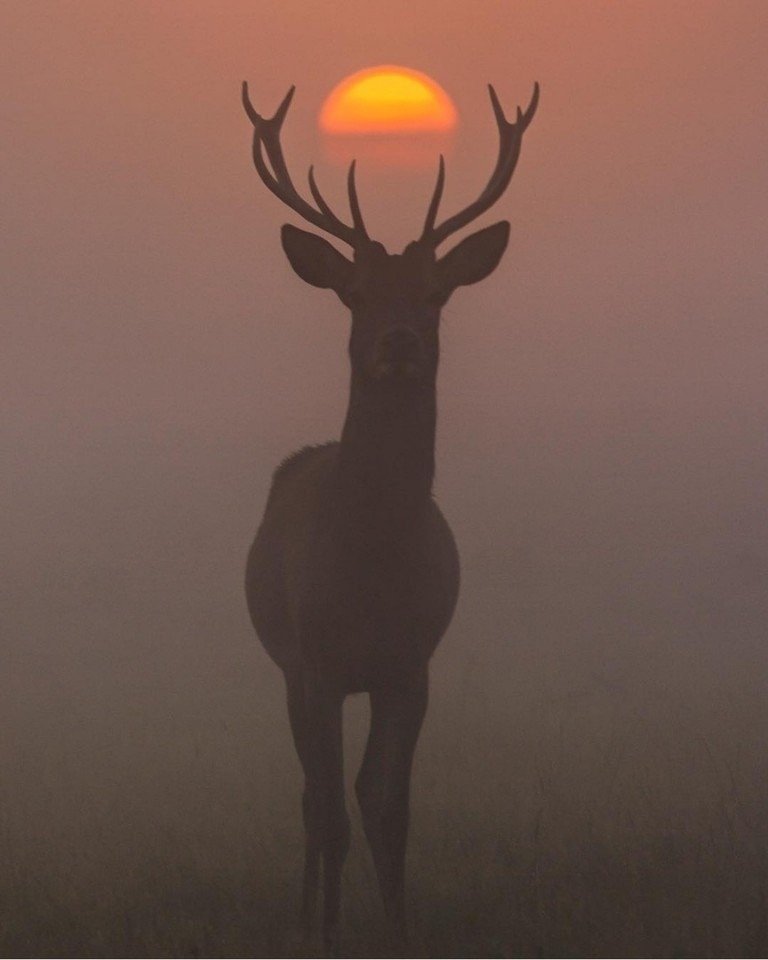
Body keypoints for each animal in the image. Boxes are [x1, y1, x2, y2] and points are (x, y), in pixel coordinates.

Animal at [243, 80, 536, 952]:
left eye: (437, 292)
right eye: (356, 292)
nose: (399, 340)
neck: (372, 560)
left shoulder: (411, 663)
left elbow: (390, 807)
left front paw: (401, 932)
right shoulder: (316, 663)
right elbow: (333, 811)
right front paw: (328, 935)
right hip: (290, 666)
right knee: (311, 799)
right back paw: (306, 916)